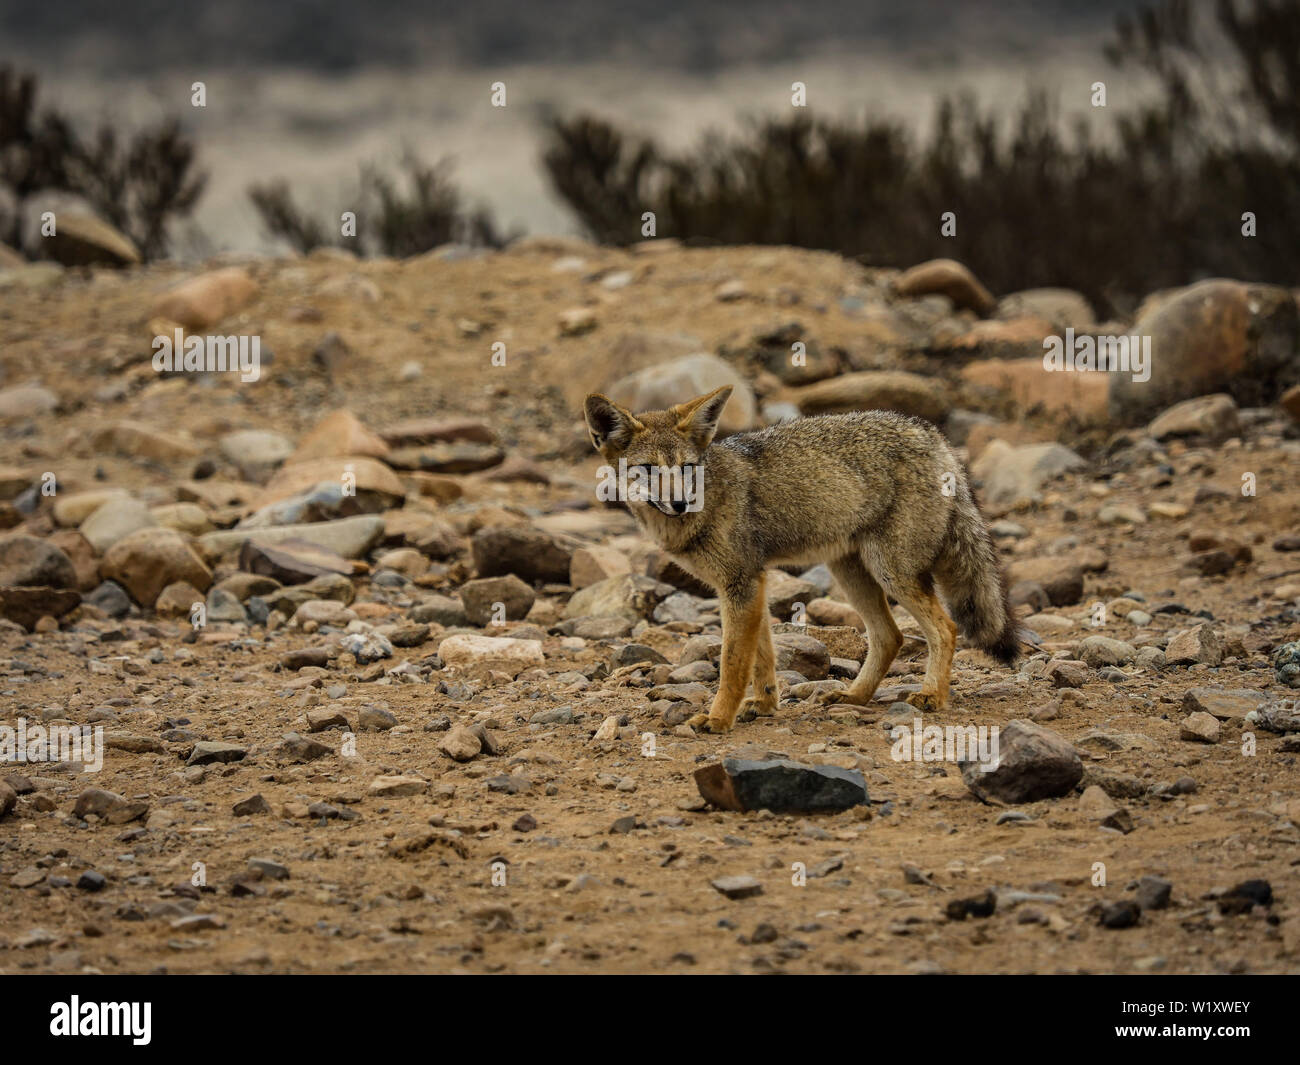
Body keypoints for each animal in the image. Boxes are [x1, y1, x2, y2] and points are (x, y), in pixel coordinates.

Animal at [584, 385, 1020, 734]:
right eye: (647, 470)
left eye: (687, 468)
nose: (679, 503)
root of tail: (931, 433)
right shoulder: (751, 583)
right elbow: (762, 657)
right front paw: (764, 704)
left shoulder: (740, 583)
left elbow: (733, 664)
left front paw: (718, 718)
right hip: (852, 573)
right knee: (891, 636)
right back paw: (854, 697)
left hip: (892, 573)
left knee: (946, 628)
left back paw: (931, 695)